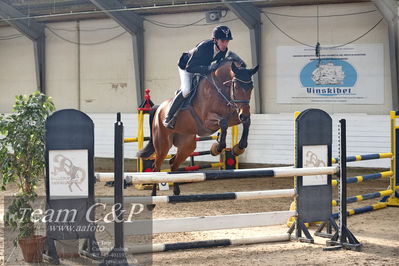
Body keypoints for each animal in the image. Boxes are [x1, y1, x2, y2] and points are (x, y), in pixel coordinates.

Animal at [138, 53, 260, 198]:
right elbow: (223, 124)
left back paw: (176, 192)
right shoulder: (207, 121)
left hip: (187, 145)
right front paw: (217, 148)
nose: (244, 114)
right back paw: (154, 195)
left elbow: (246, 123)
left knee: (173, 163)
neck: (220, 89)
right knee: (156, 167)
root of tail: (159, 109)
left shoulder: (234, 116)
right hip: (163, 144)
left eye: (251, 87)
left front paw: (238, 148)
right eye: (235, 86)